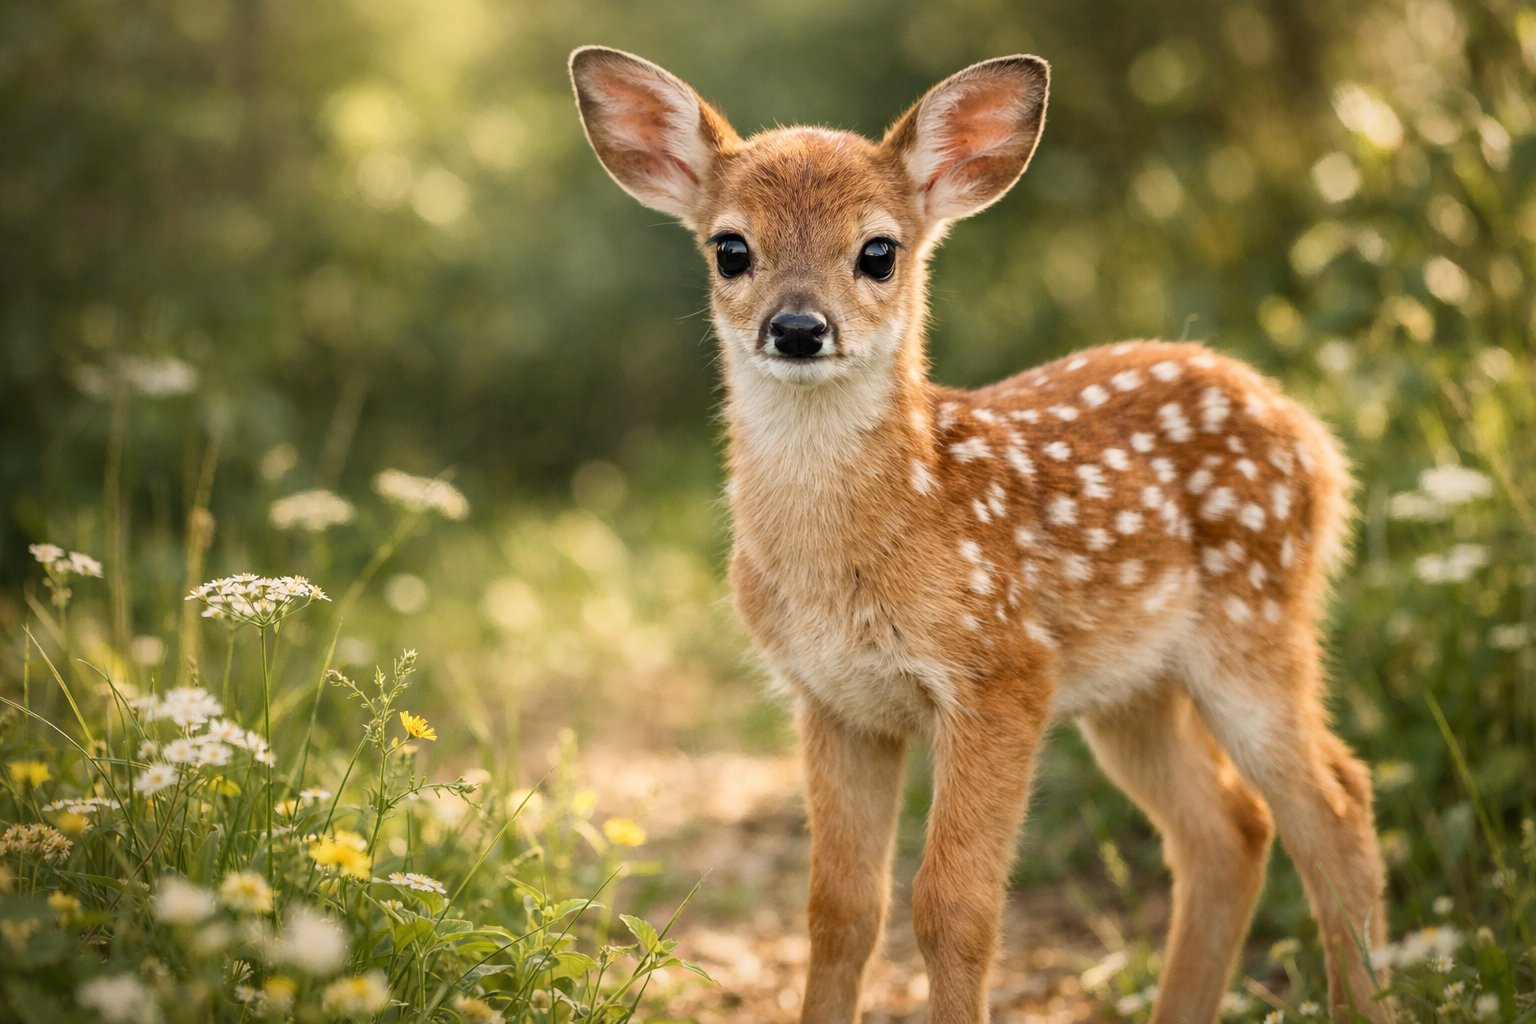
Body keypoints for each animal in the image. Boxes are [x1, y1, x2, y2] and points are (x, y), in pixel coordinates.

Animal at [569, 46, 1390, 1024]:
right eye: (731, 249)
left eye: (878, 251)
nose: (798, 328)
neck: (857, 556)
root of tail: (1316, 439)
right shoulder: (833, 700)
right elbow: (840, 908)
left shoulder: (1001, 672)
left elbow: (952, 907)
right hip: (1132, 691)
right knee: (1231, 828)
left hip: (1254, 625)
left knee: (1336, 803)